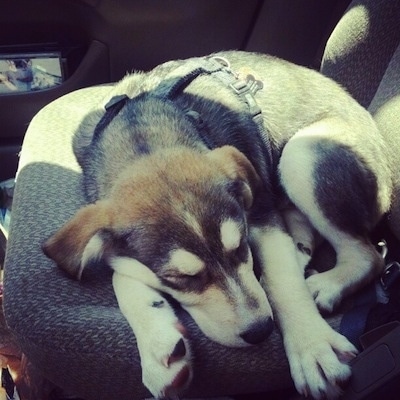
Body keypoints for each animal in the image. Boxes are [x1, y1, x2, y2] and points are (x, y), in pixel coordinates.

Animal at [41, 50, 394, 400]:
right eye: (182, 278)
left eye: (241, 247)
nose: (261, 331)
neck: (141, 133)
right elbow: (121, 274)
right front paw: (157, 344)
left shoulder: (261, 214)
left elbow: (283, 282)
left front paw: (313, 347)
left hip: (302, 153)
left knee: (366, 256)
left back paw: (325, 284)